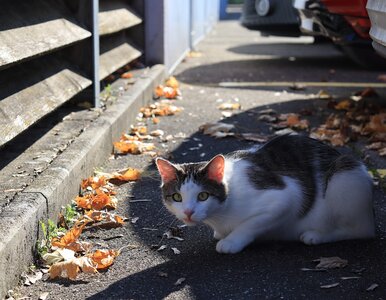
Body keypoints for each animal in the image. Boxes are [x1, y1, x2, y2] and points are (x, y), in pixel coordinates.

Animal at [155, 134, 374, 253]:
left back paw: (317, 236)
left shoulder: (285, 198)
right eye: (177, 197)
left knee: (360, 230)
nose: (188, 213)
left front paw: (232, 241)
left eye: (203, 196)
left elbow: (250, 224)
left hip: (343, 176)